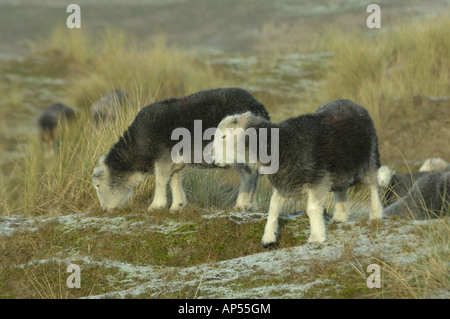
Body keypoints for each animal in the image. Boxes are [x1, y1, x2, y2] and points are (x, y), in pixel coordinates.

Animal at [91, 87, 268, 212]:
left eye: (98, 186)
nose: (104, 210)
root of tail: (259, 109)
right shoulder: (173, 161)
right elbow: (174, 180)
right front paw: (177, 205)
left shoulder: (162, 156)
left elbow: (161, 180)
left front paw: (156, 205)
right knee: (255, 174)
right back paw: (252, 206)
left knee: (248, 175)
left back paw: (241, 205)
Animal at [214, 100, 384, 248]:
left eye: (224, 136)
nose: (214, 159)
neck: (280, 145)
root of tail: (350, 103)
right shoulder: (284, 181)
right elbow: (273, 208)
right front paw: (269, 237)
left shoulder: (318, 180)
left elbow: (312, 209)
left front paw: (316, 237)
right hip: (340, 168)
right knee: (341, 190)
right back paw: (340, 217)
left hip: (370, 158)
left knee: (372, 186)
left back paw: (376, 215)